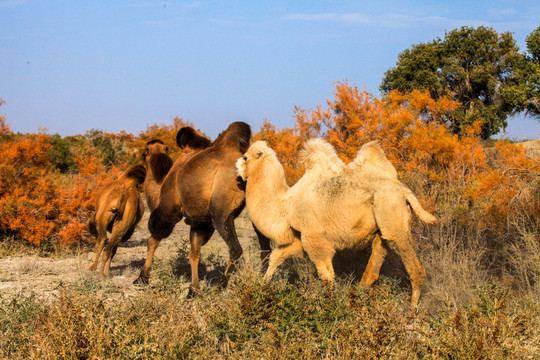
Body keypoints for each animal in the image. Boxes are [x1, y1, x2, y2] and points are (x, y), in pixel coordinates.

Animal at [133, 121, 272, 296]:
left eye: (144, 153)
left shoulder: (168, 212)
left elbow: (152, 240)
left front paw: (142, 278)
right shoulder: (200, 222)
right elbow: (194, 253)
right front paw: (193, 290)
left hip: (220, 212)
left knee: (235, 249)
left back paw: (220, 286)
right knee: (265, 247)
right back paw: (262, 281)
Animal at [234, 138, 436, 306]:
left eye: (245, 157)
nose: (235, 168)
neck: (287, 204)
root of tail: (405, 191)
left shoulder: (313, 233)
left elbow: (325, 274)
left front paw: (329, 306)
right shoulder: (301, 237)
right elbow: (277, 256)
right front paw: (263, 286)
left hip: (393, 219)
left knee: (416, 270)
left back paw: (411, 312)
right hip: (382, 228)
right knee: (374, 266)